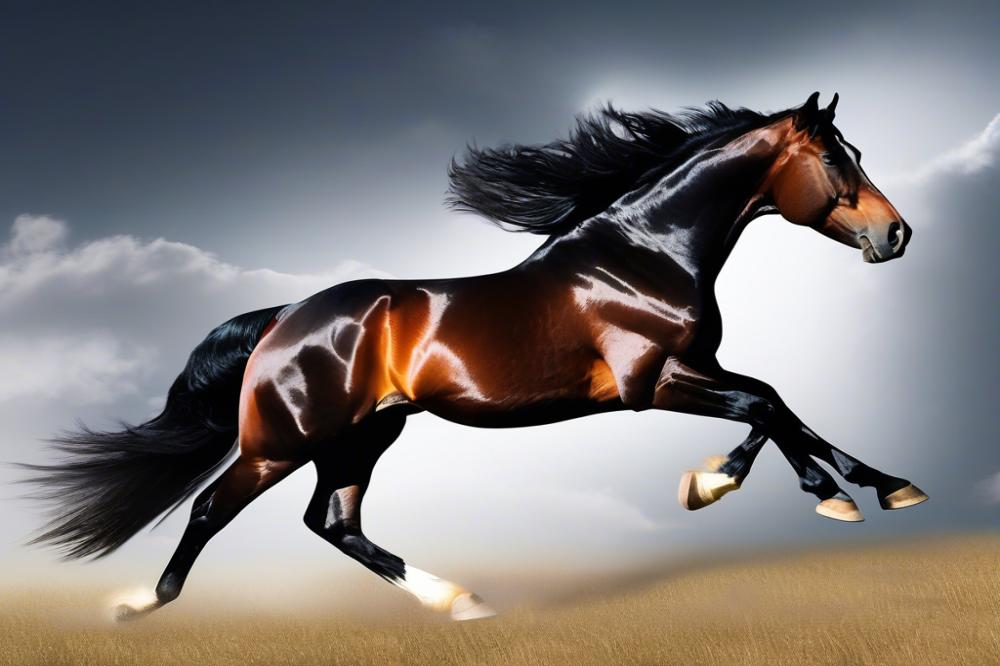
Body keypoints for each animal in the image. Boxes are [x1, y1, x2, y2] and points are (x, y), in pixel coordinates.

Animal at [25, 92, 927, 622]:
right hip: (282, 443)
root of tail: (282, 319)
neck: (643, 255)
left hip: (362, 437)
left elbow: (784, 406)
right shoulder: (653, 382)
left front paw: (885, 487)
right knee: (215, 510)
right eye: (838, 158)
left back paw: (457, 599)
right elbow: (765, 408)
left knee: (334, 522)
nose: (896, 234)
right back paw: (141, 606)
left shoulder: (695, 371)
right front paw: (734, 486)